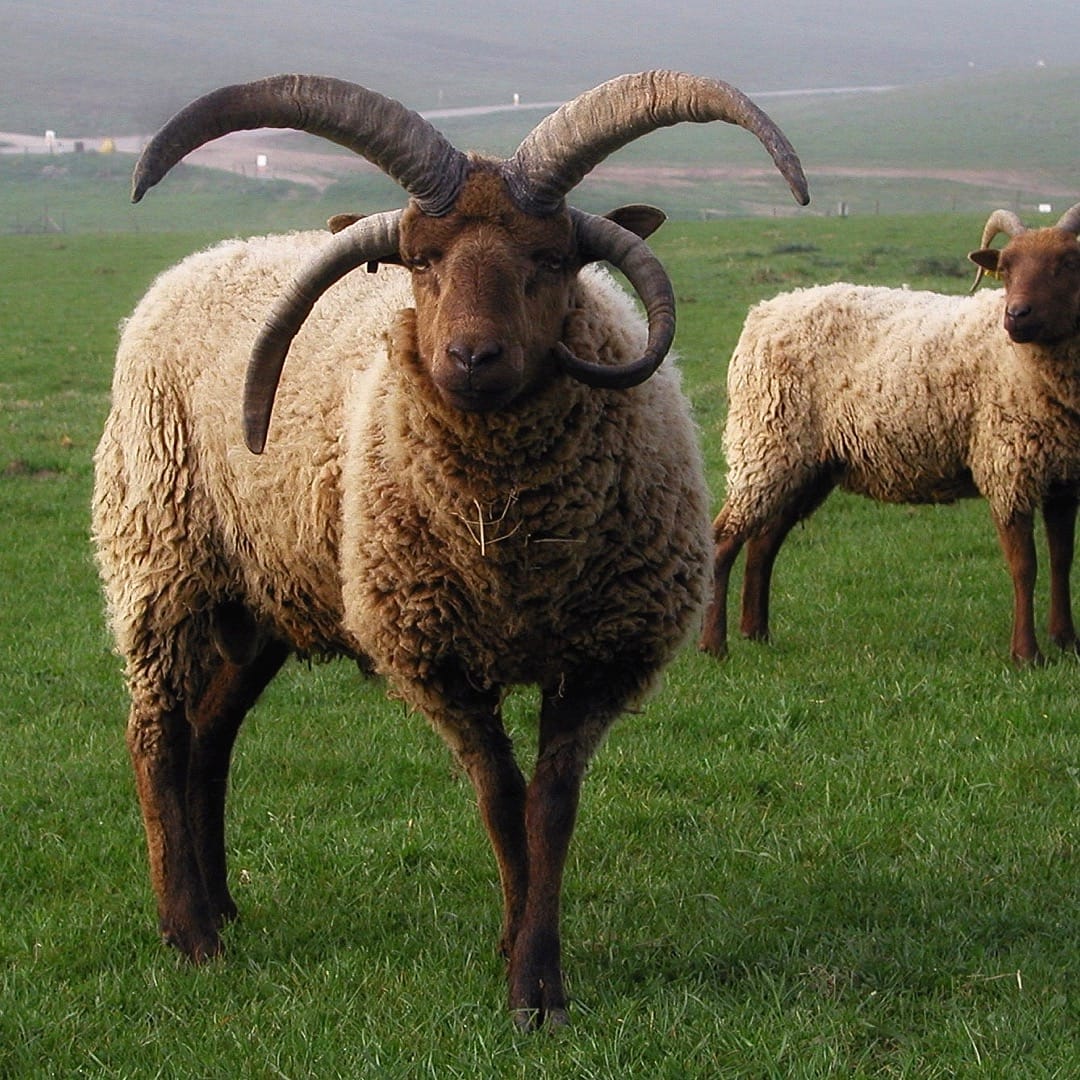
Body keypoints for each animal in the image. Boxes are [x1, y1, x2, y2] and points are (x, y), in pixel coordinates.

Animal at [90, 71, 812, 1023]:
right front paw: (525, 977)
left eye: (552, 259)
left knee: (212, 734)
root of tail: (194, 264)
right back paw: (189, 931)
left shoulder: (602, 653)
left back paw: (222, 906)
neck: (513, 549)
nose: (472, 357)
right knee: (157, 733)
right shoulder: (439, 654)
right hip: (162, 557)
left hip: (265, 593)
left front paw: (534, 970)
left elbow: (550, 809)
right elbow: (502, 802)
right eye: (421, 261)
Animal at [695, 198, 1080, 660]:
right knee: (724, 540)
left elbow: (1062, 560)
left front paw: (1067, 642)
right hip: (766, 445)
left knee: (763, 541)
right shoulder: (1006, 468)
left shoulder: (1064, 478)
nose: (1016, 316)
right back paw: (714, 644)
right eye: (1005, 267)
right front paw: (1026, 653)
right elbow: (1025, 567)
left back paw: (757, 632)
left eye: (1068, 262)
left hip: (807, 464)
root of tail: (766, 310)